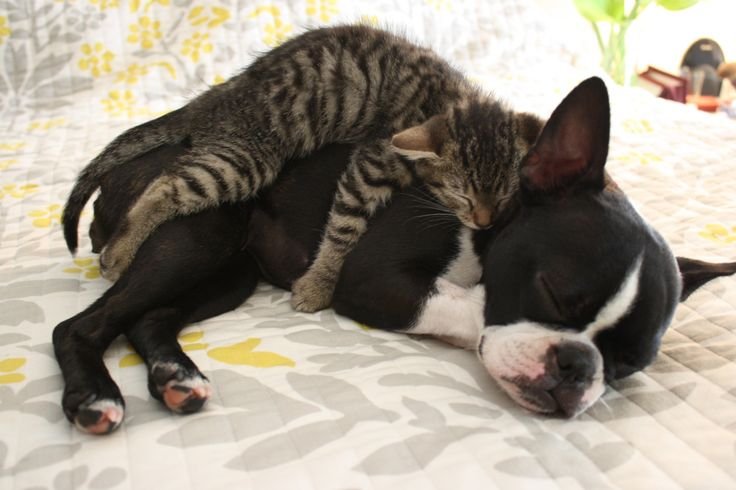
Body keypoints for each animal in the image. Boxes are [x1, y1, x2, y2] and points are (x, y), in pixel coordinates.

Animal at [53, 78, 736, 434]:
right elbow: (466, 307)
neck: (490, 218)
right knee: (80, 326)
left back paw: (176, 378)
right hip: (198, 236)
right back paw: (94, 397)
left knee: (147, 319)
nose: (577, 368)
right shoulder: (371, 279)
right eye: (552, 292)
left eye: (628, 364)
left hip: (231, 273)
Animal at [63, 23, 544, 310]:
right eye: (461, 193)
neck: (448, 98)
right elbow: (342, 230)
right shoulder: (371, 163)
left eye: (504, 193)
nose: (483, 222)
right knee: (167, 186)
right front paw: (319, 283)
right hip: (248, 158)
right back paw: (120, 251)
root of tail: (218, 96)